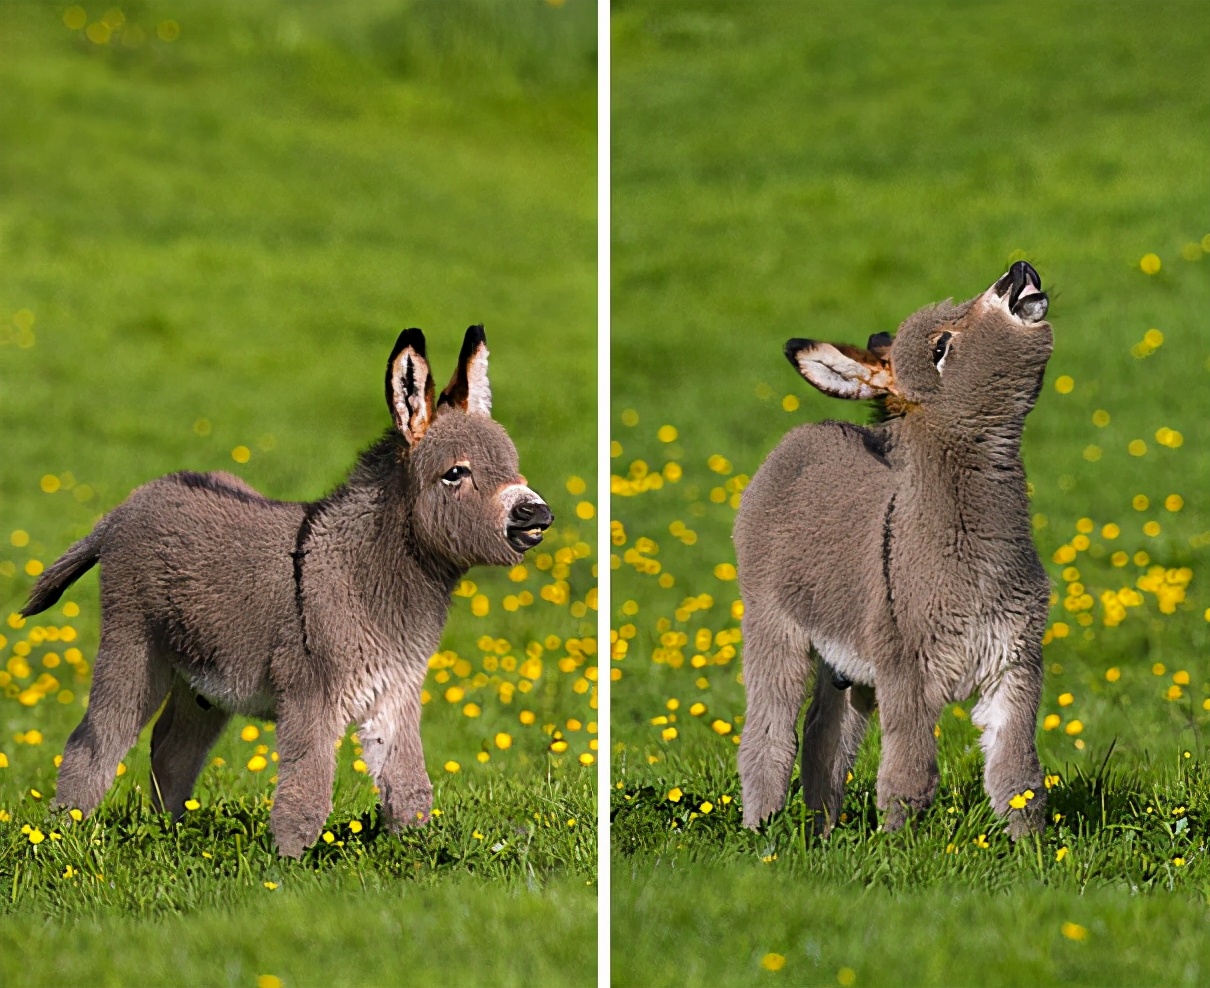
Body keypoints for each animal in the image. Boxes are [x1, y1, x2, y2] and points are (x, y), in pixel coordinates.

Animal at [23, 326, 554, 856]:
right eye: (455, 472)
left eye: (513, 466)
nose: (538, 515)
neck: (362, 574)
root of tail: (126, 506)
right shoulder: (310, 694)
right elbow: (306, 794)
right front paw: (288, 865)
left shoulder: (396, 692)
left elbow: (409, 790)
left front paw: (417, 856)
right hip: (133, 646)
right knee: (94, 742)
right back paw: (62, 836)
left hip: (203, 681)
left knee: (172, 749)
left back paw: (170, 832)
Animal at [730, 262, 1055, 841]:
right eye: (941, 347)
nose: (1018, 272)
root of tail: (805, 433)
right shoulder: (907, 670)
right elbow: (909, 775)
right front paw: (900, 847)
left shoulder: (1015, 664)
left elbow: (1018, 778)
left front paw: (1032, 851)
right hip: (773, 626)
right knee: (769, 736)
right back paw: (761, 832)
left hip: (848, 666)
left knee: (825, 738)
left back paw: (820, 835)